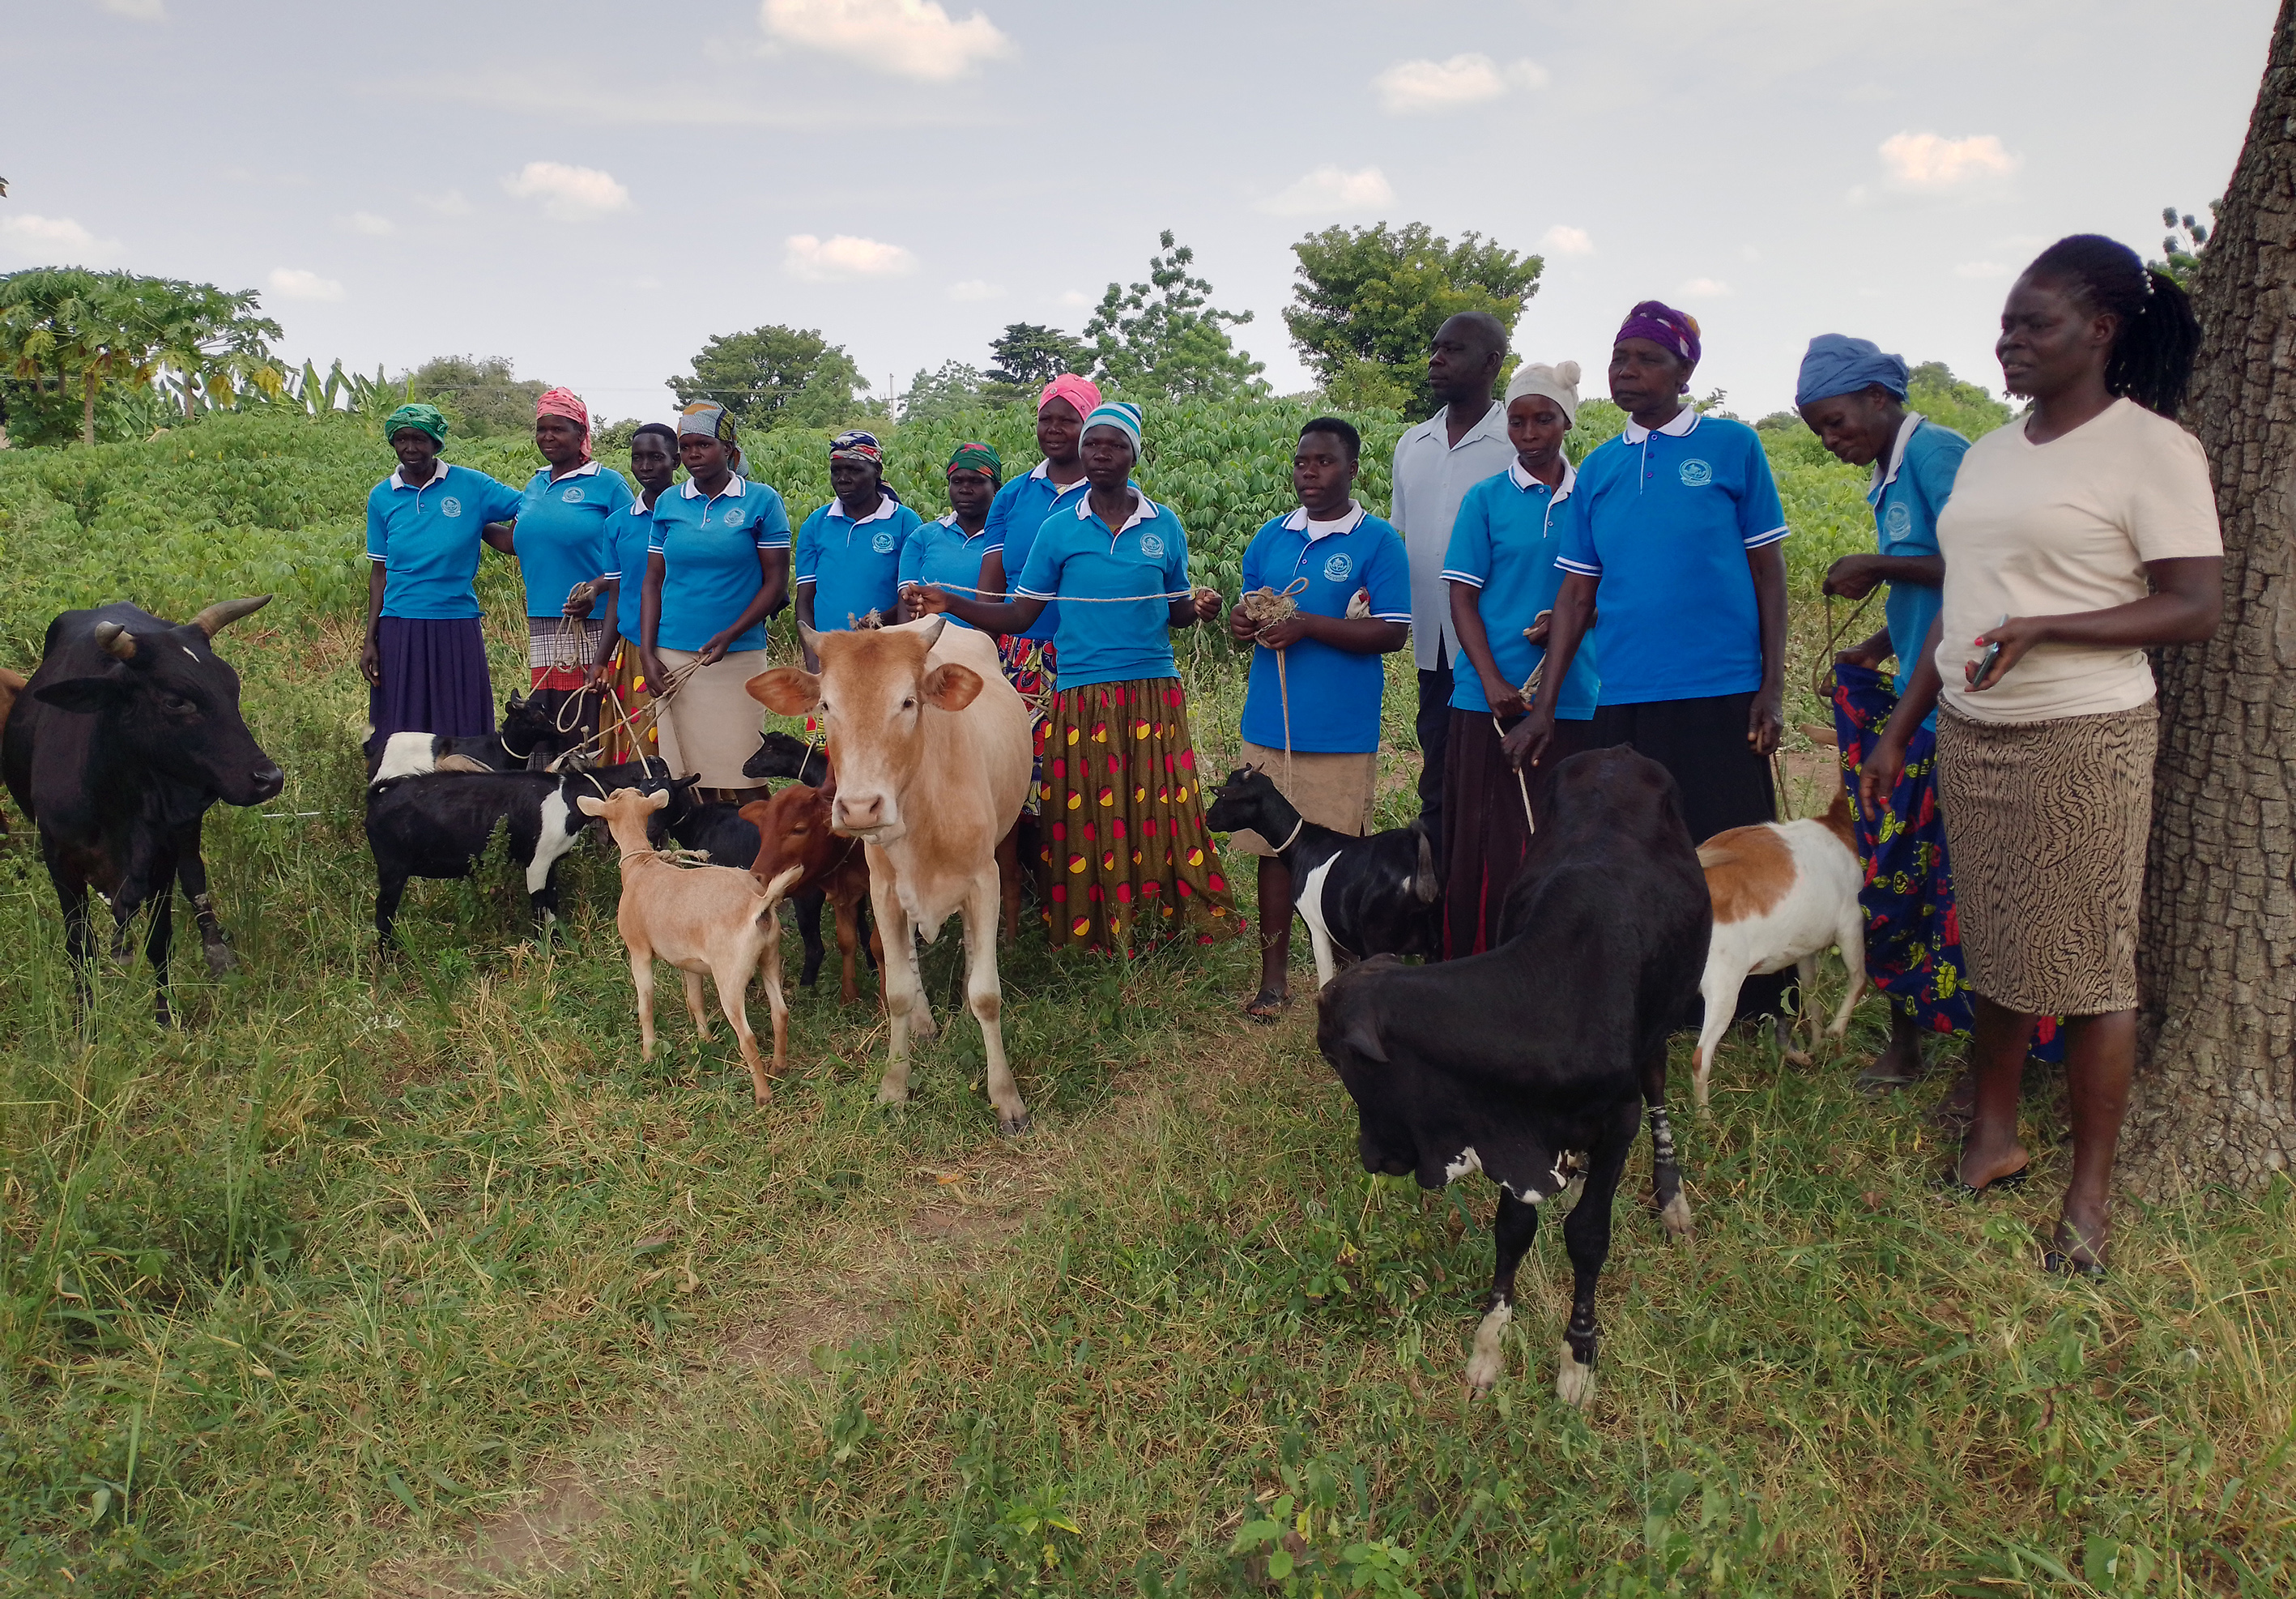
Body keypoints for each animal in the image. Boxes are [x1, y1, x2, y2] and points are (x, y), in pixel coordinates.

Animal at [3, 597, 284, 1024]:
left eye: (232, 688)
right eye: (176, 700)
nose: (270, 778)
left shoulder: (161, 858)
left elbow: (160, 938)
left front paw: (165, 1015)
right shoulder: (59, 860)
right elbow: (80, 946)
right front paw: (85, 1021)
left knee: (194, 876)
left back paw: (215, 951)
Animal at [743, 620, 1033, 1130]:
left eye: (908, 701)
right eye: (826, 705)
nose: (860, 809)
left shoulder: (984, 881)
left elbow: (987, 995)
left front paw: (1006, 1098)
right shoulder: (883, 892)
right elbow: (895, 987)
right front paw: (895, 1086)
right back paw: (923, 1023)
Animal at [1203, 767, 1433, 987]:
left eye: (1225, 796)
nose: (1208, 818)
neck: (1304, 844)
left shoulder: (1316, 926)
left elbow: (1325, 978)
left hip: (1378, 940)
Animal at [1322, 748, 1717, 1415]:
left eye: (1338, 1060)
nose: (1370, 1157)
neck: (1554, 995)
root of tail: (1617, 755)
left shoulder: (1617, 1120)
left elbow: (1587, 1235)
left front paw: (1578, 1358)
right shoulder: (1511, 1126)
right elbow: (1512, 1230)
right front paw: (1488, 1344)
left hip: (1662, 1027)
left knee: (1659, 1086)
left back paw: (1672, 1199)